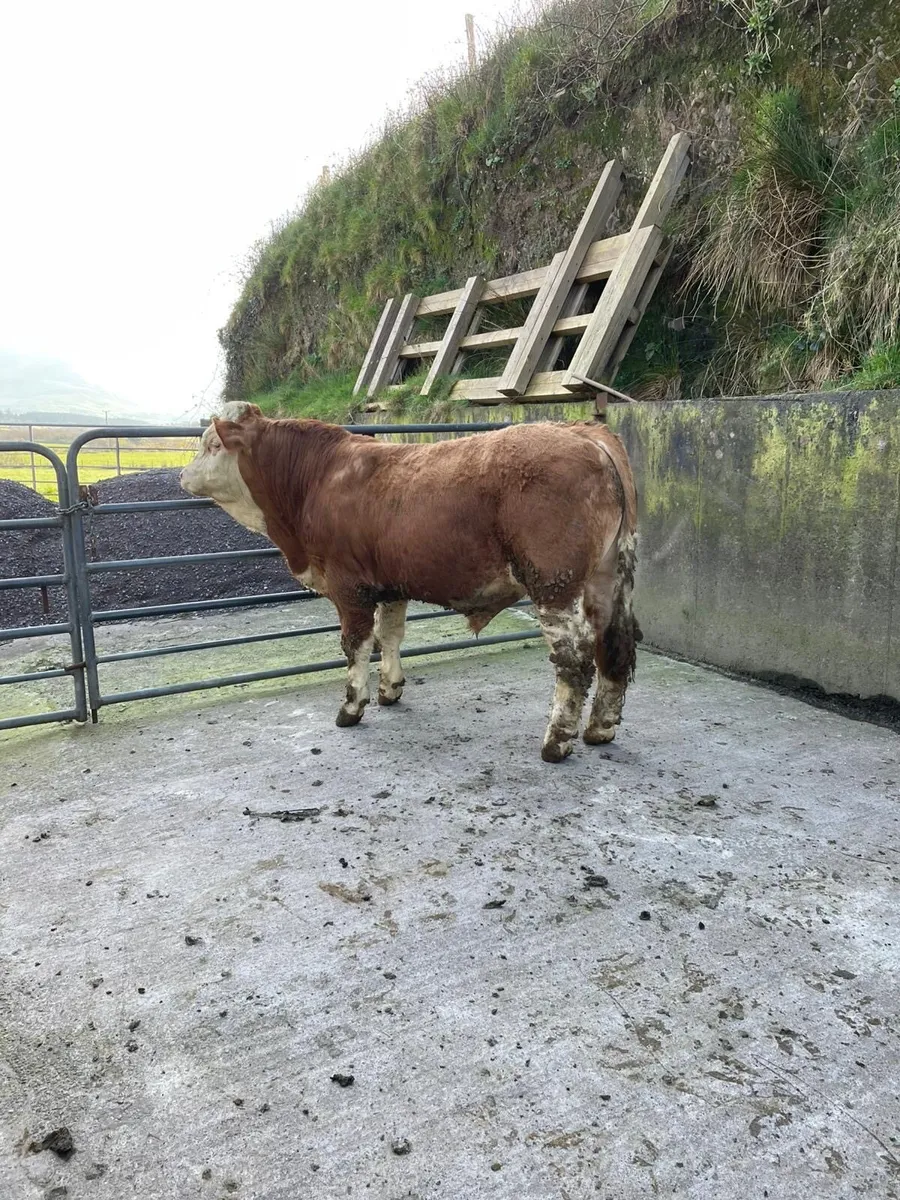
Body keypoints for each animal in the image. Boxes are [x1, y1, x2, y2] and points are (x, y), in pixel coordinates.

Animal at [180, 404, 640, 762]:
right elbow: (391, 635)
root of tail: (584, 432)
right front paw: (390, 688)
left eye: (213, 444)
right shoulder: (390, 585)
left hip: (554, 584)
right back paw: (600, 729)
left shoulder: (349, 587)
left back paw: (556, 742)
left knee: (574, 660)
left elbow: (356, 645)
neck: (316, 480)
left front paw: (352, 707)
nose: (182, 476)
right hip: (608, 579)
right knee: (615, 644)